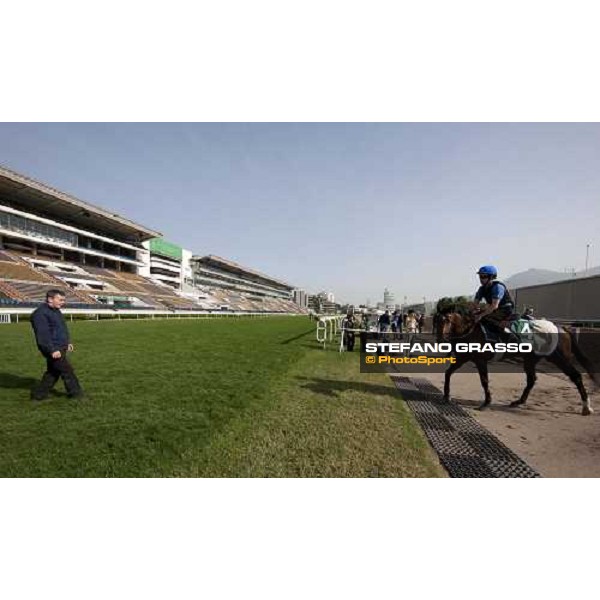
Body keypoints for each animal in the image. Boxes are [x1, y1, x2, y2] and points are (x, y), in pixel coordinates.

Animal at [436, 310, 596, 412]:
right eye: (437, 323)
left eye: (447, 321)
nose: (440, 340)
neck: (470, 332)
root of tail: (561, 328)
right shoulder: (463, 358)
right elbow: (448, 373)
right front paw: (446, 395)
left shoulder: (480, 361)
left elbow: (484, 381)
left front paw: (486, 402)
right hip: (530, 360)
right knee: (531, 379)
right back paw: (519, 401)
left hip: (558, 358)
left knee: (576, 376)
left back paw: (586, 406)